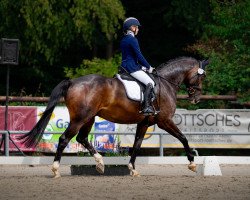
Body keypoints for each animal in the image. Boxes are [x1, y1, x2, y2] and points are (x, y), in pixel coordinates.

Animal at [18, 56, 208, 178]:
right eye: (202, 76)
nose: (197, 98)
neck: (165, 83)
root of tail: (72, 82)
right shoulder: (164, 121)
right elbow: (183, 138)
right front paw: (192, 163)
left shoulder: (144, 123)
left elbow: (137, 144)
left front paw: (132, 169)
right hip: (80, 118)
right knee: (65, 139)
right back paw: (56, 169)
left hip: (89, 118)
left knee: (82, 138)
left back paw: (100, 163)